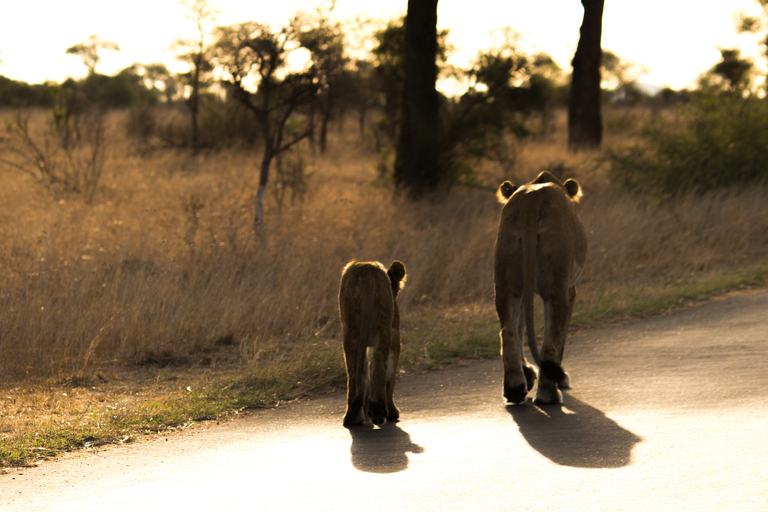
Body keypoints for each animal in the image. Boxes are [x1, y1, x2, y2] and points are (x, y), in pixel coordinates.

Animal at [338, 258, 404, 426]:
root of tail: (365, 268)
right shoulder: (395, 335)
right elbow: (390, 376)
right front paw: (392, 411)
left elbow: (364, 371)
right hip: (386, 326)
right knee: (380, 359)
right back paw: (378, 409)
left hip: (350, 327)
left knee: (353, 369)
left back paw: (352, 417)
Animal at [492, 172, 588, 404]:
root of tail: (531, 198)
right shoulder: (570, 290)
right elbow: (560, 336)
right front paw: (560, 381)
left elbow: (519, 328)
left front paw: (527, 374)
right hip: (556, 287)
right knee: (550, 341)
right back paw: (548, 394)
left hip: (506, 281)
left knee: (508, 331)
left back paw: (514, 389)